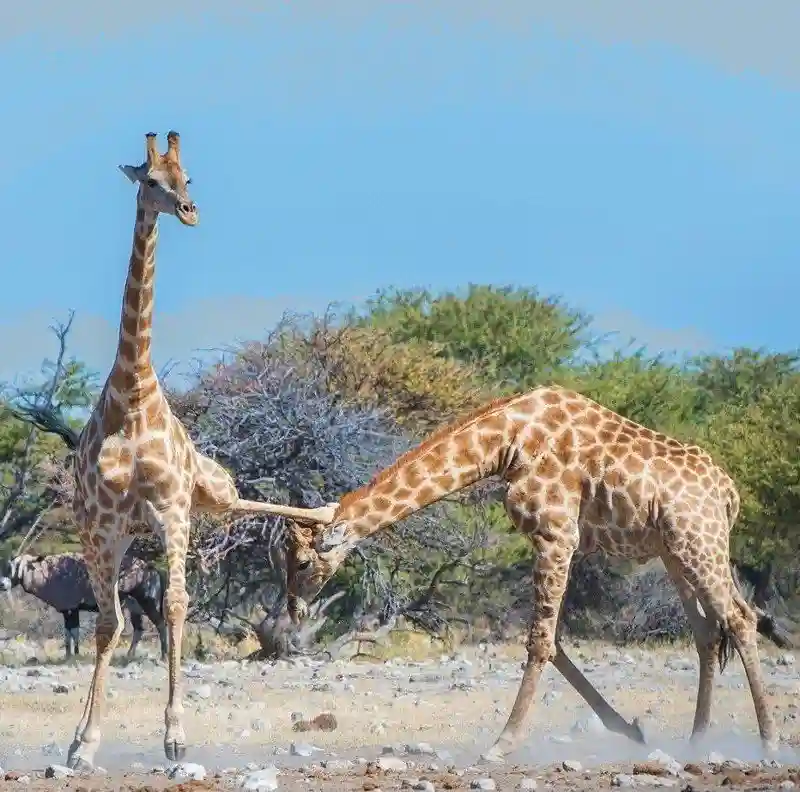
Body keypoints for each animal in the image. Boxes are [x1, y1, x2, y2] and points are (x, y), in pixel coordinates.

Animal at [56, 131, 332, 772]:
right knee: (111, 617)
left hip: (208, 487)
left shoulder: (173, 511)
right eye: (151, 180)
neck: (132, 393)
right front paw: (85, 742)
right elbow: (107, 625)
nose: (188, 211)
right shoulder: (104, 525)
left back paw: (323, 516)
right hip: (111, 530)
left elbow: (180, 607)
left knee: (239, 504)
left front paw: (176, 736)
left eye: (189, 178)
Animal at [276, 386, 788, 764]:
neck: (505, 443)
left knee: (740, 618)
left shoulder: (557, 534)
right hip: (674, 551)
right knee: (707, 630)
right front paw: (630, 730)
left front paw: (502, 744)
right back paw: (697, 740)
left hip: (698, 542)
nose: (295, 611)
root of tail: (729, 494)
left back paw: (768, 742)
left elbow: (540, 642)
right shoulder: (558, 540)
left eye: (301, 563)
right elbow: (554, 640)